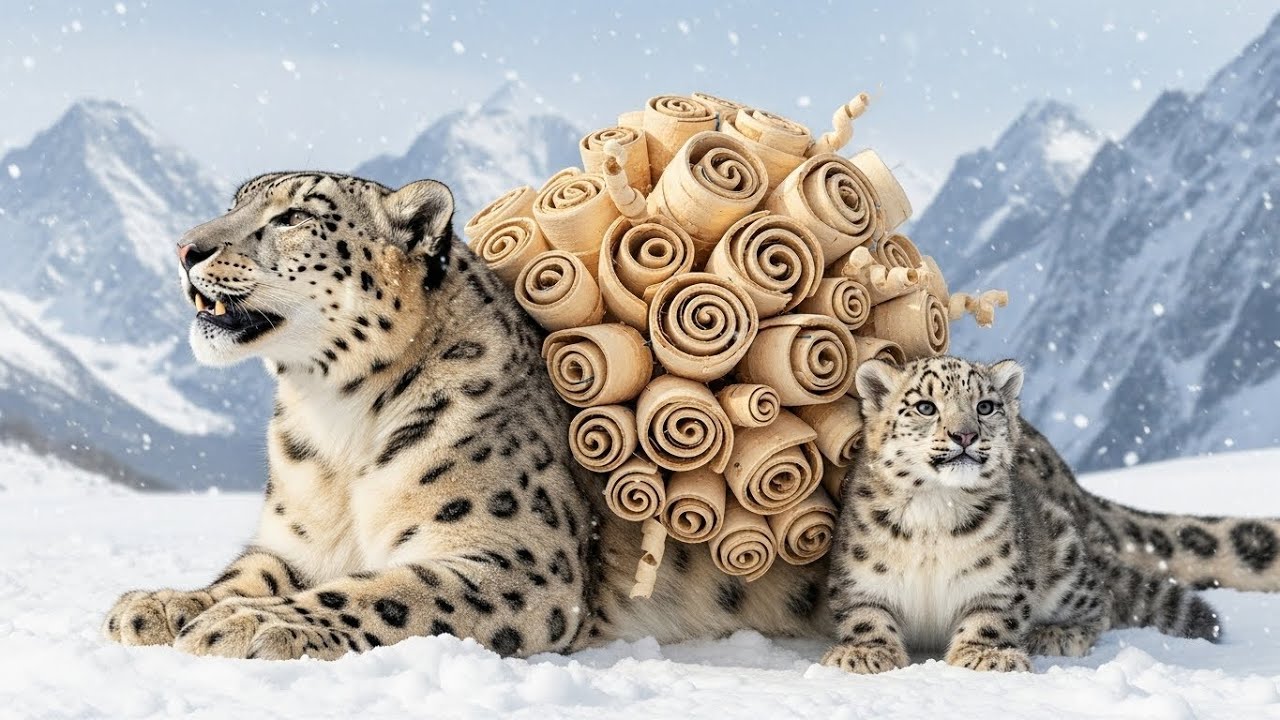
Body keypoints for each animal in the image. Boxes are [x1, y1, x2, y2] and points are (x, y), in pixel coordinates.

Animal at [101, 171, 828, 660]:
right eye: (234, 204)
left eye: (293, 216)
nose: (184, 248)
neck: (336, 428)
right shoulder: (295, 541)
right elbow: (240, 576)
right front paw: (161, 604)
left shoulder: (518, 558)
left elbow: (388, 591)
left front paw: (258, 625)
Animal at [822, 355, 1280, 675]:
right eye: (925, 406)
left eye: (985, 406)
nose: (964, 434)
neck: (936, 509)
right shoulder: (858, 577)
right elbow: (865, 616)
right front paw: (864, 654)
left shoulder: (1002, 580)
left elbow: (992, 618)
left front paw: (986, 656)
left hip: (1066, 559)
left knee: (1101, 604)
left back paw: (1055, 635)